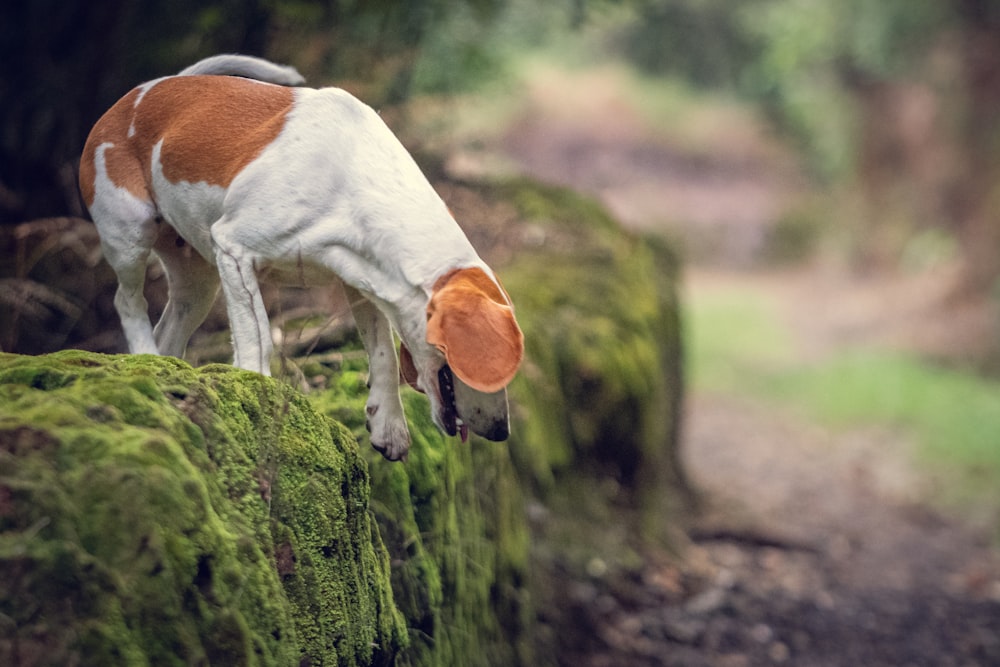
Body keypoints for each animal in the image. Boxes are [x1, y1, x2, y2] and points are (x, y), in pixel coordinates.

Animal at [78, 54, 524, 462]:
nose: (501, 432)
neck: (353, 180)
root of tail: (146, 90)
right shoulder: (234, 249)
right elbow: (258, 335)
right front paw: (255, 389)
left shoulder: (362, 281)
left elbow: (382, 353)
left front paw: (388, 424)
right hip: (131, 232)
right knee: (127, 301)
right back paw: (145, 355)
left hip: (198, 284)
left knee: (171, 326)